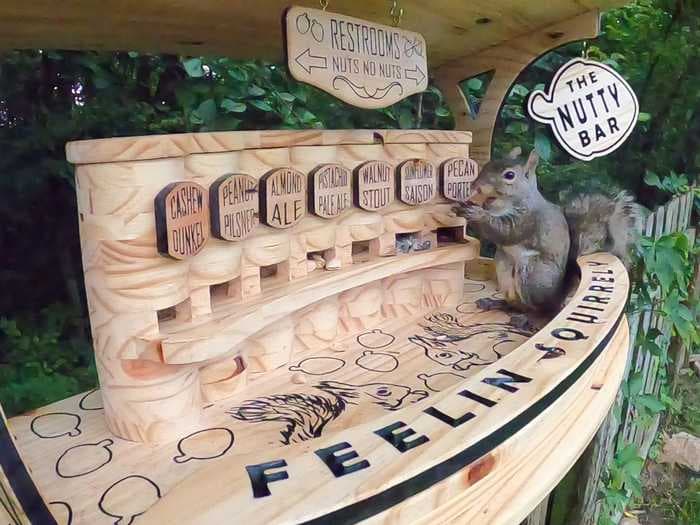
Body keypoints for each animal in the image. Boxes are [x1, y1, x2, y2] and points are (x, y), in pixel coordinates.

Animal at [454, 145, 644, 314]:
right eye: (489, 164)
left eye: (509, 175)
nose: (475, 186)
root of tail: (558, 297)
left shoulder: (528, 221)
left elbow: (505, 232)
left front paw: (476, 213)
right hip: (503, 265)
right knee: (517, 304)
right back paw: (497, 303)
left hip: (532, 273)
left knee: (537, 309)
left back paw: (525, 318)